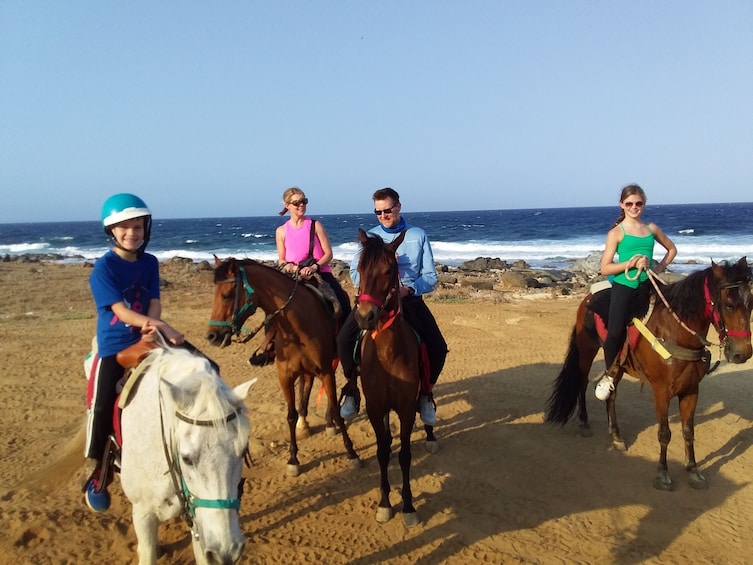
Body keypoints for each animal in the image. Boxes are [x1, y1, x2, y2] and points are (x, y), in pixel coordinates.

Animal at [204, 256, 360, 476]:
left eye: (226, 295)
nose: (212, 336)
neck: (298, 325)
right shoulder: (285, 376)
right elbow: (290, 416)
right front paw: (293, 459)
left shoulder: (326, 370)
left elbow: (338, 413)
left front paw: (351, 453)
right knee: (307, 383)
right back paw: (304, 423)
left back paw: (328, 422)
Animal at [354, 227, 438, 528]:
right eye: (359, 268)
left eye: (390, 270)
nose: (365, 317)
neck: (388, 353)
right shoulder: (376, 407)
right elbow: (382, 452)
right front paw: (384, 504)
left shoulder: (405, 408)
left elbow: (404, 454)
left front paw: (409, 506)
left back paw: (430, 434)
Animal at [548, 256, 752, 490]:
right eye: (729, 305)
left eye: (751, 303)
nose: (742, 354)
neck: (676, 334)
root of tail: (588, 298)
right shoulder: (661, 392)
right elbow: (664, 433)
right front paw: (662, 473)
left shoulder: (691, 390)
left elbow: (688, 431)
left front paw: (693, 471)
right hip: (587, 350)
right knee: (582, 383)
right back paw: (584, 422)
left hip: (617, 365)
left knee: (612, 395)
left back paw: (616, 435)